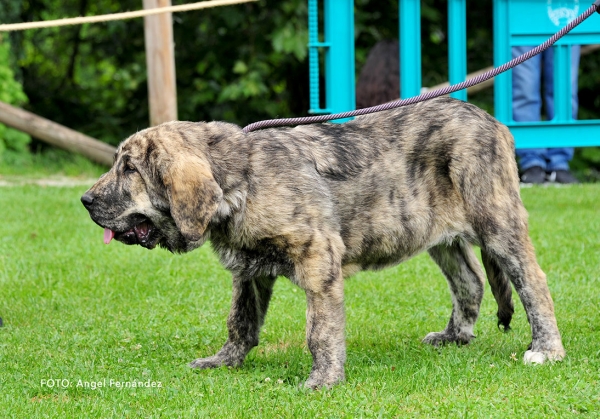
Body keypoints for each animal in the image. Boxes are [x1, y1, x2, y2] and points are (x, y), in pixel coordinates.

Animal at [82, 97, 564, 388]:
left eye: (129, 169)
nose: (85, 200)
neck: (243, 181)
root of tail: (494, 122)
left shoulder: (318, 259)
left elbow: (321, 329)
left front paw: (324, 379)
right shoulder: (248, 270)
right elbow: (240, 321)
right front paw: (225, 361)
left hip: (497, 220)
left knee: (533, 282)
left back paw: (546, 350)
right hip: (436, 235)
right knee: (470, 281)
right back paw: (455, 336)